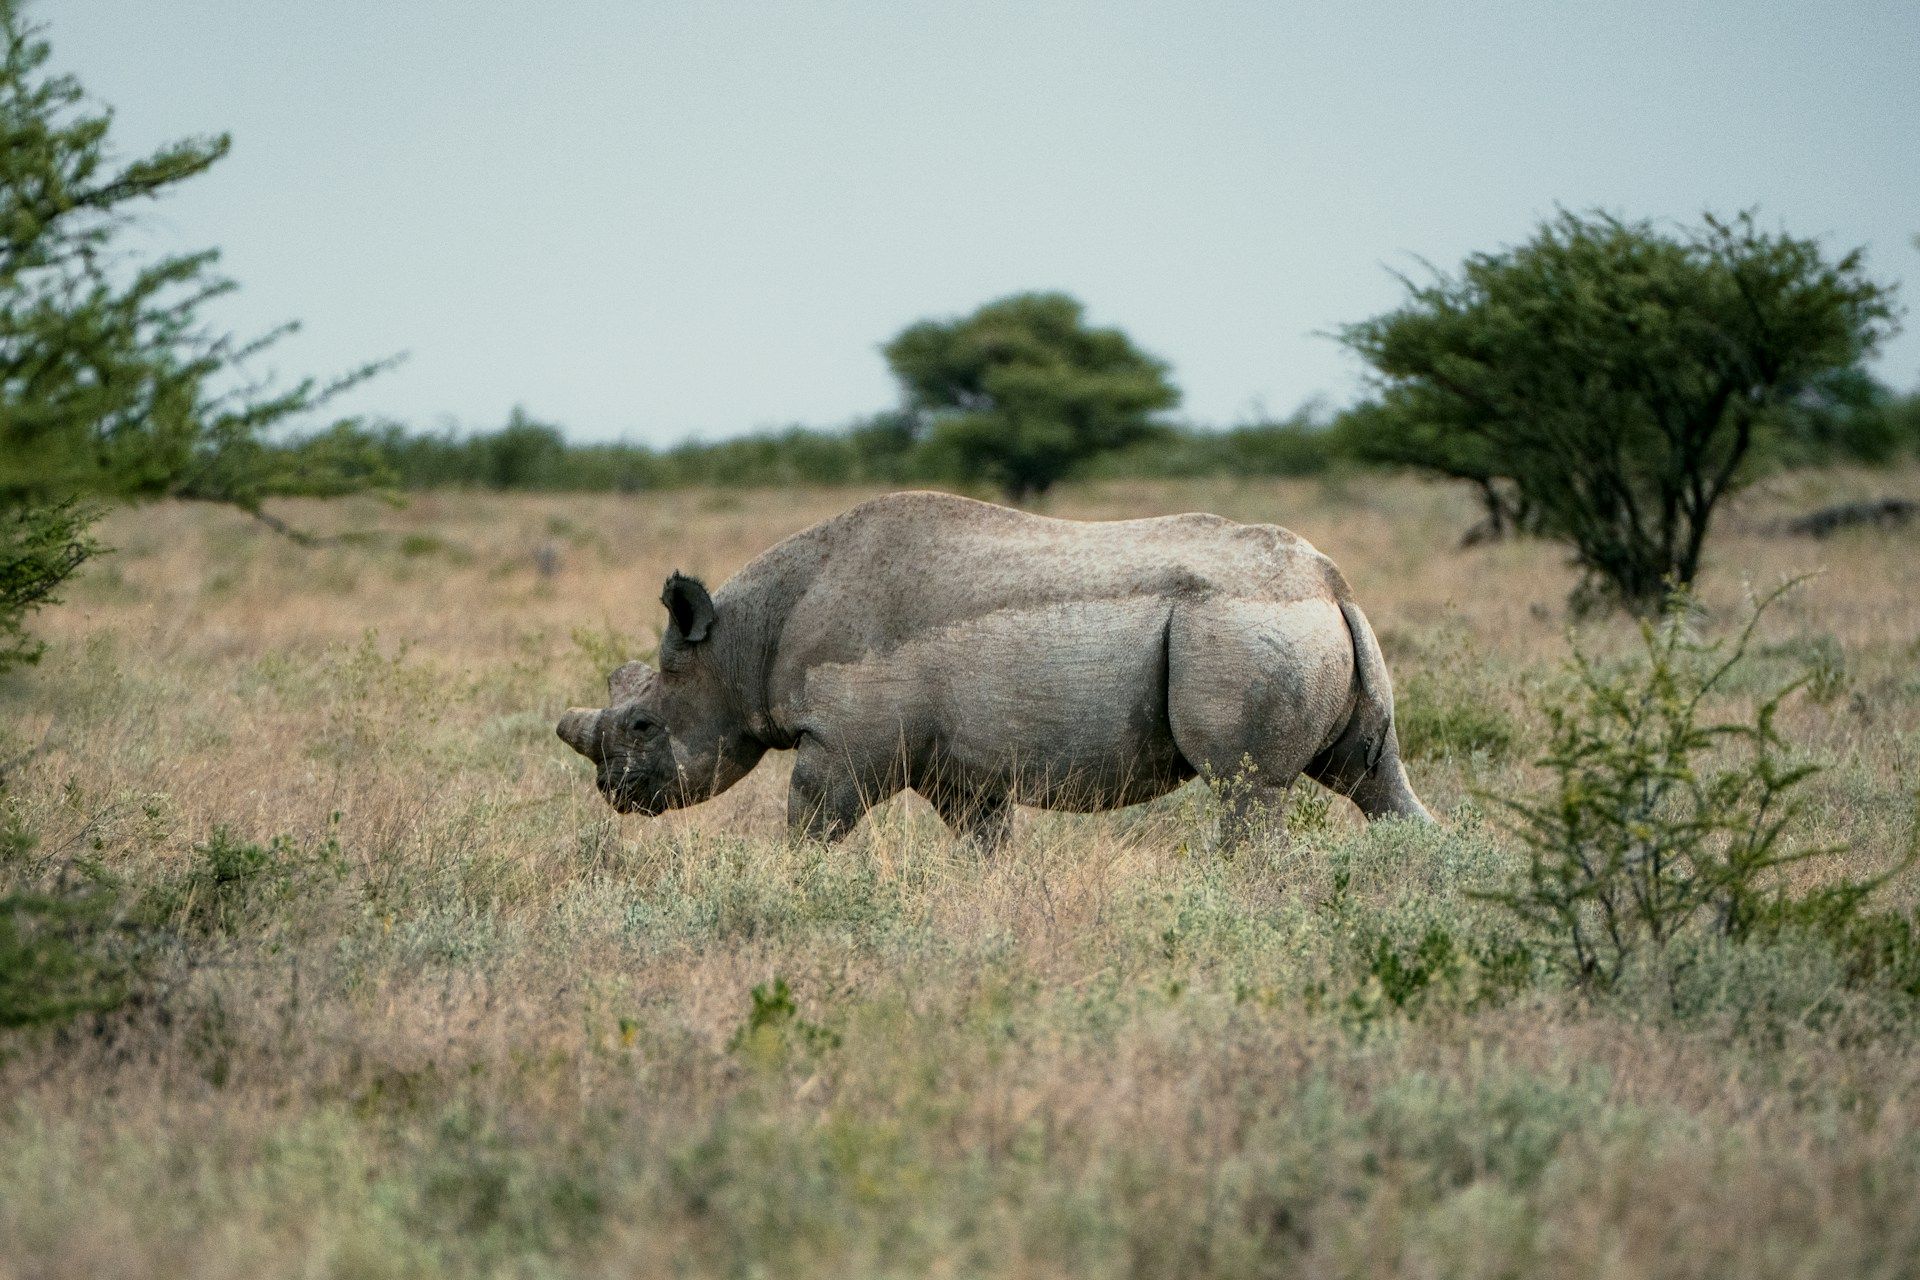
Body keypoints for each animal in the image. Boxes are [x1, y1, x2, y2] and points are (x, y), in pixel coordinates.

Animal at [556, 490, 1431, 848]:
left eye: (644, 723)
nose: (611, 792)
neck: (742, 645)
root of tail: (1331, 584)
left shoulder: (848, 744)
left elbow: (811, 821)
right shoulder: (955, 765)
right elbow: (985, 840)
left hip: (1242, 624)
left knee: (1247, 790)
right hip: (1298, 627)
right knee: (1373, 777)